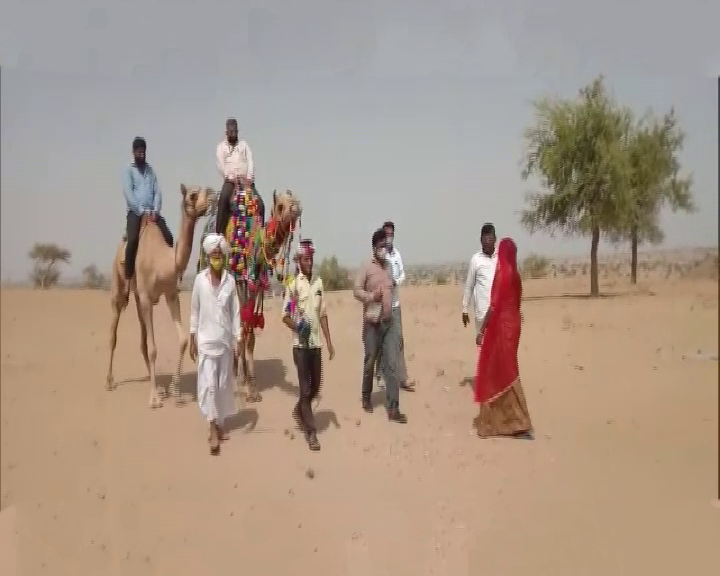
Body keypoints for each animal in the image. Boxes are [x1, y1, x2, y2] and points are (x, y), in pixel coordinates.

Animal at [106, 183, 211, 404]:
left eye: (206, 190)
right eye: (192, 195)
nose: (210, 200)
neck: (164, 262)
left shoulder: (170, 294)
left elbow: (182, 340)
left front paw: (174, 390)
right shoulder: (147, 297)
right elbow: (155, 349)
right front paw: (154, 398)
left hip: (138, 298)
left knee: (143, 341)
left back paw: (155, 383)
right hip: (119, 286)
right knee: (114, 333)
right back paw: (110, 381)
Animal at [197, 182, 304, 402]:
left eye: (294, 199)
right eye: (280, 205)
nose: (296, 207)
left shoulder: (255, 286)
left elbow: (249, 332)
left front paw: (251, 385)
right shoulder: (239, 283)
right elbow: (240, 329)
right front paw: (240, 383)